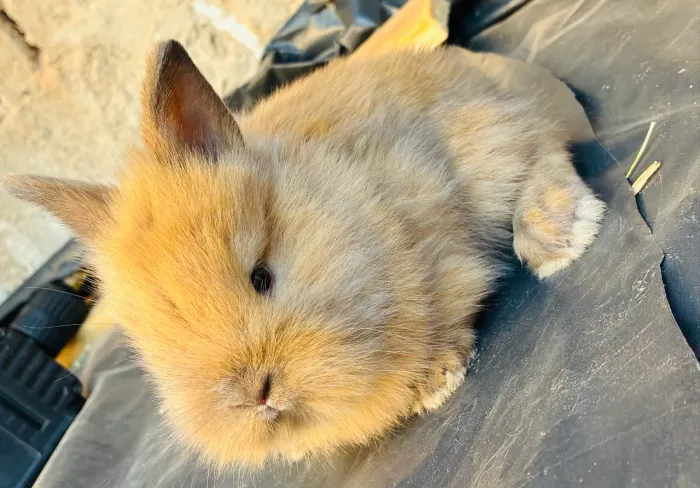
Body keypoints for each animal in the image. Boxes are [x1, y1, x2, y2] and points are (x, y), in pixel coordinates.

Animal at [3, 40, 604, 468]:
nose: (257, 397)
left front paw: (437, 381)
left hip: (488, 137)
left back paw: (561, 238)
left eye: (261, 277)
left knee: (542, 144)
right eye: (157, 342)